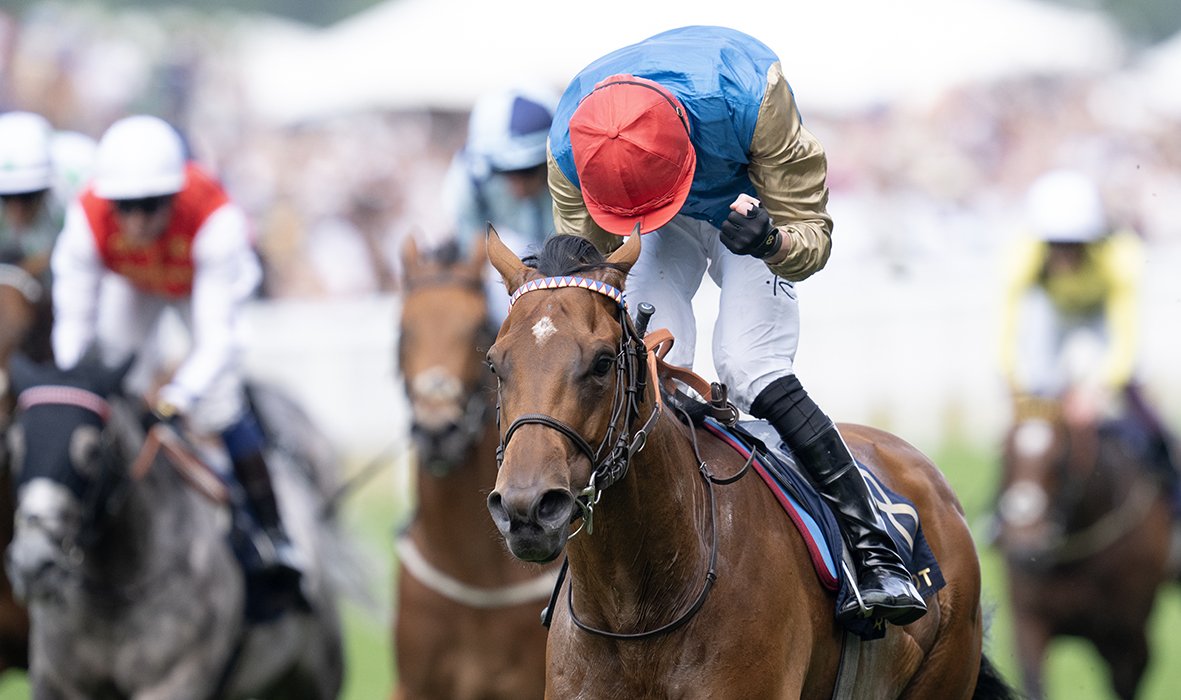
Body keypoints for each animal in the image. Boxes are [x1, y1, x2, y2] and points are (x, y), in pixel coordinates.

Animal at [4, 354, 347, 699]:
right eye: (15, 447)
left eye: (91, 451)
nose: (31, 562)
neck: (111, 596)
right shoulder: (57, 682)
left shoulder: (174, 681)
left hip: (312, 677)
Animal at [994, 392, 1175, 699]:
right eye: (1006, 456)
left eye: (1058, 461)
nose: (1025, 548)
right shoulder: (1029, 621)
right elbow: (1034, 680)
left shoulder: (1124, 633)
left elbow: (1130, 675)